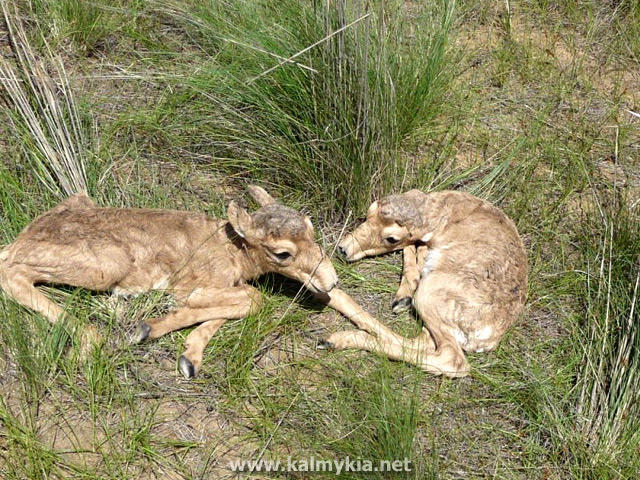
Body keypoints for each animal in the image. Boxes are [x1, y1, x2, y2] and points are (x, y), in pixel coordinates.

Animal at [0, 186, 338, 376]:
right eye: (283, 253)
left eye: (311, 228)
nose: (331, 281)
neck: (232, 248)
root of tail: (21, 239)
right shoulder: (193, 284)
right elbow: (253, 299)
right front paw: (149, 328)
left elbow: (236, 306)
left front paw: (188, 357)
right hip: (107, 265)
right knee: (10, 272)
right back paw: (88, 340)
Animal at [324, 189, 528, 376]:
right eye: (369, 212)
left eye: (391, 238)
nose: (343, 249)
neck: (448, 210)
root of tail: (489, 337)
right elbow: (414, 249)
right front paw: (403, 296)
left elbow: (411, 247)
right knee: (421, 341)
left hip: (428, 294)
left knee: (452, 360)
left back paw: (336, 331)